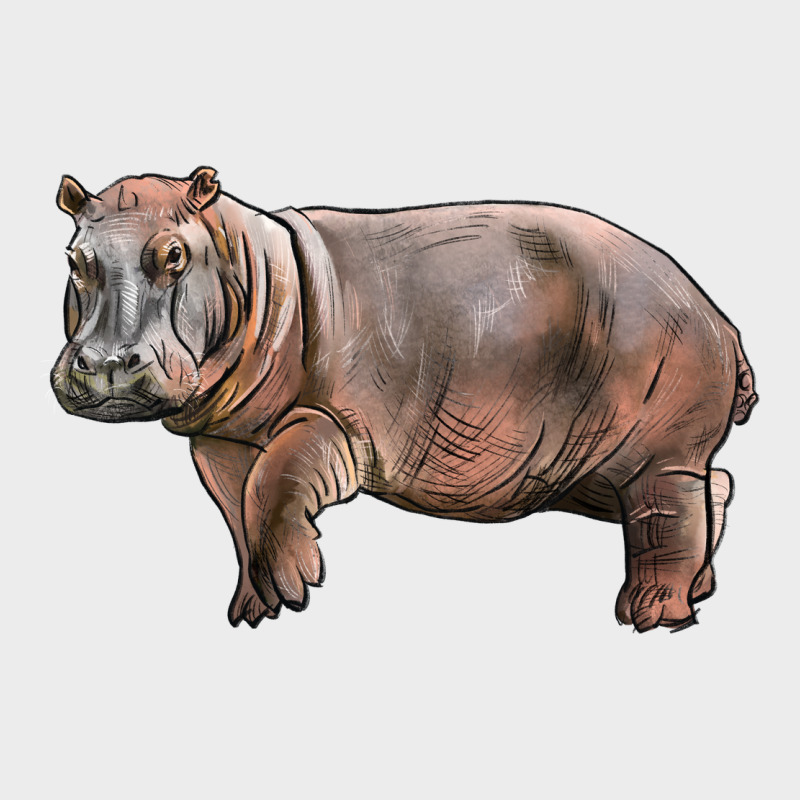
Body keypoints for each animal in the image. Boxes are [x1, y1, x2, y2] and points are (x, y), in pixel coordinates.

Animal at [51, 167, 757, 632]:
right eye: (73, 257)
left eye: (173, 254)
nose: (107, 364)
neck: (244, 259)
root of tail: (720, 317)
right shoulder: (221, 438)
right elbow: (237, 510)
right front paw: (253, 611)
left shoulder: (333, 421)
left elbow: (273, 484)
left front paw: (294, 589)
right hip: (588, 468)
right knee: (712, 489)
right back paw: (699, 590)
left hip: (658, 449)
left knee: (668, 513)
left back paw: (650, 617)